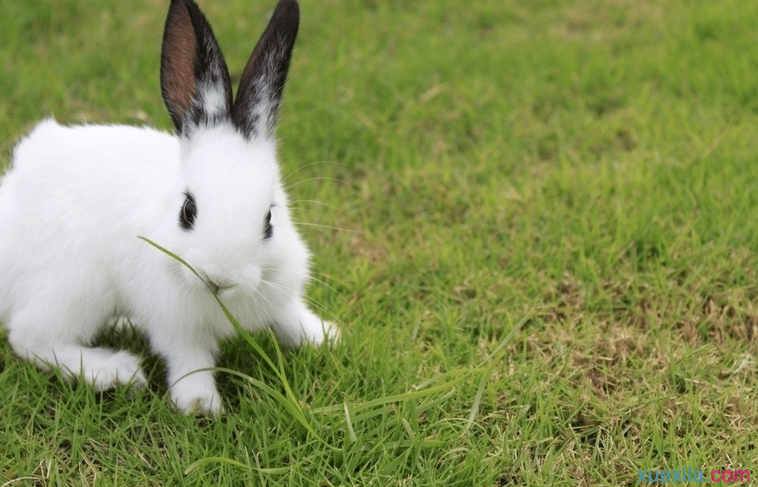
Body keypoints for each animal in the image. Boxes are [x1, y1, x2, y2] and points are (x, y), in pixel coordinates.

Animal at [0, 0, 338, 416]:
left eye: (270, 219)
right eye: (187, 212)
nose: (219, 278)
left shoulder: (279, 292)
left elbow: (290, 318)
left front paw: (324, 337)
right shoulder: (176, 325)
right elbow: (190, 360)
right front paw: (200, 405)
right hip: (74, 287)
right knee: (29, 336)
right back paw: (113, 371)